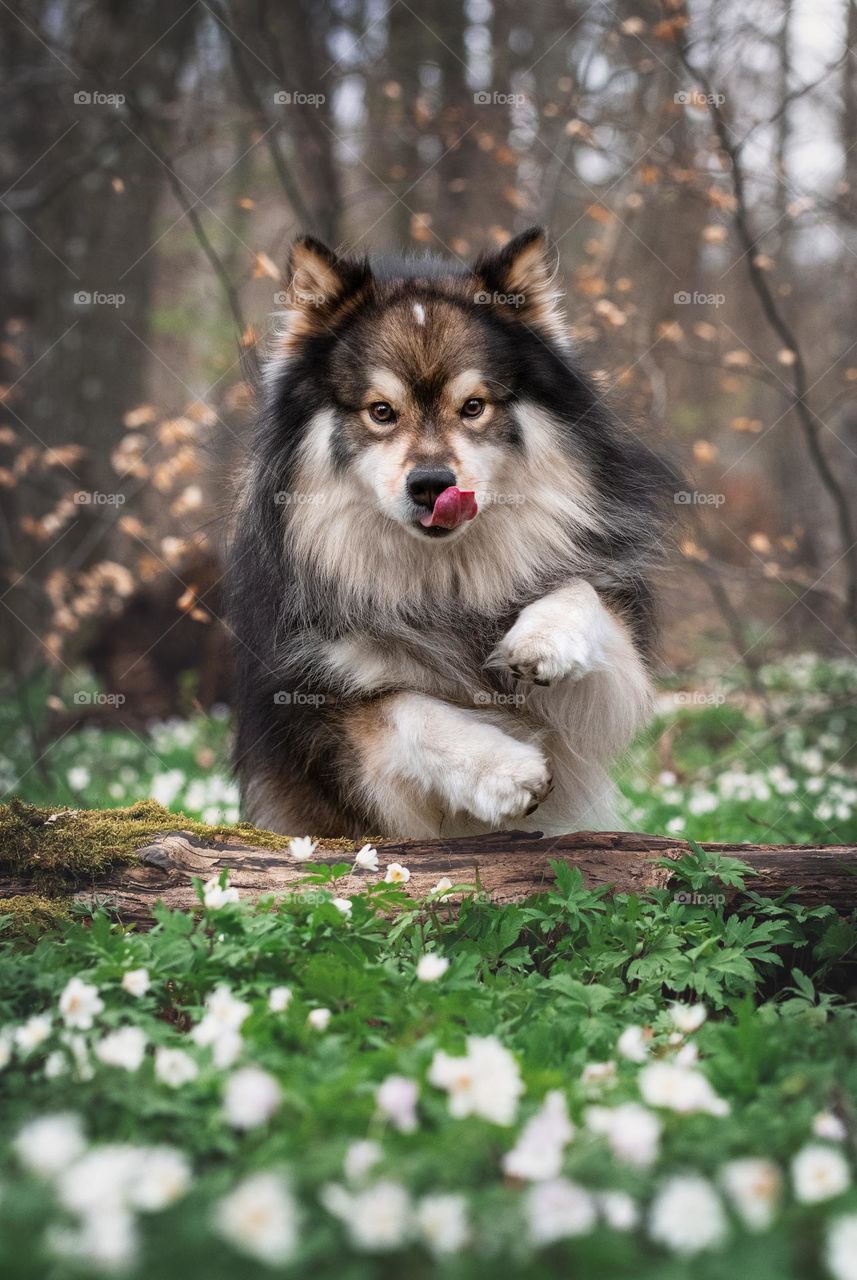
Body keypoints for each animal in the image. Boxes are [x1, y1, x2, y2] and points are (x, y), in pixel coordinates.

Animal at [230, 227, 680, 839]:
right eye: (380, 412)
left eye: (473, 407)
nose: (431, 485)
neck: (445, 582)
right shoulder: (322, 712)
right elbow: (405, 709)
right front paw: (503, 771)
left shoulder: (604, 691)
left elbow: (578, 592)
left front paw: (542, 638)